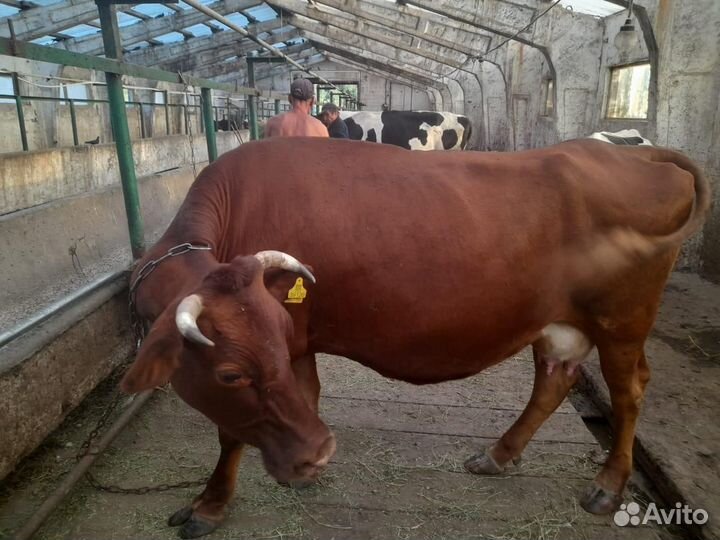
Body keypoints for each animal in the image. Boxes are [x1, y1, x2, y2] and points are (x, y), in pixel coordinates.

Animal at [121, 137, 709, 538]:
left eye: (230, 373)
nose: (317, 454)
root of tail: (638, 152)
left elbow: (232, 432)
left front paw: (209, 506)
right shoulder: (301, 340)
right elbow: (303, 398)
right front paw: (305, 468)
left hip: (622, 322)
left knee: (628, 393)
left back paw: (608, 487)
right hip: (562, 324)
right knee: (553, 382)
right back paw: (497, 455)